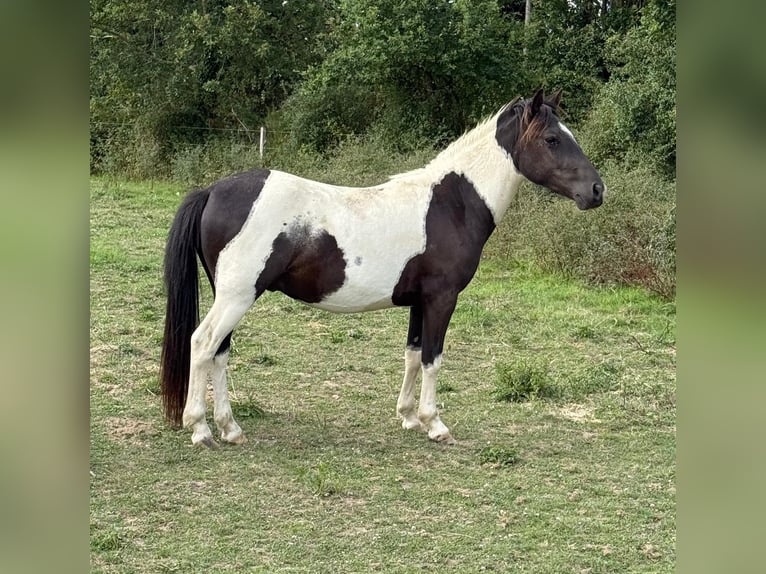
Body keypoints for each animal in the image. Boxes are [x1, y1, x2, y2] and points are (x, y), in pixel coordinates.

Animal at [160, 89, 605, 448]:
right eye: (551, 139)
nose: (597, 191)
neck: (452, 204)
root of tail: (212, 190)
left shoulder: (419, 302)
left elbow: (412, 355)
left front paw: (408, 417)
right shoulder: (441, 299)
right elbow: (432, 358)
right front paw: (435, 424)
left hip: (232, 297)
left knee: (219, 353)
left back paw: (230, 428)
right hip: (236, 297)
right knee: (203, 344)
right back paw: (201, 429)